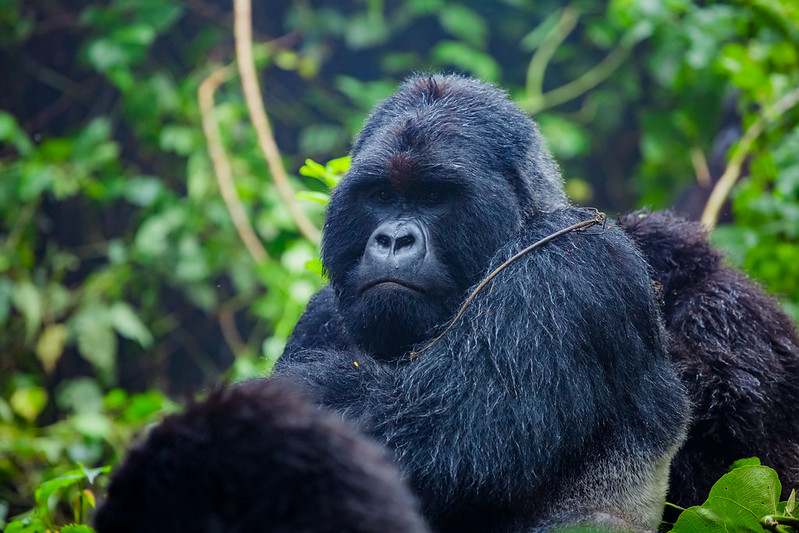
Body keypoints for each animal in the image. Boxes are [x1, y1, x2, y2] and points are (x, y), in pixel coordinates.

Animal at [276, 74, 692, 528]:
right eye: (382, 195)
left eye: (434, 197)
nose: (393, 240)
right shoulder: (320, 314)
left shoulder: (567, 259)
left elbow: (433, 439)